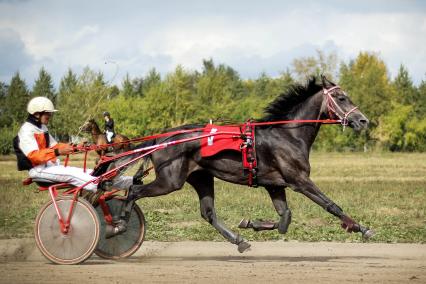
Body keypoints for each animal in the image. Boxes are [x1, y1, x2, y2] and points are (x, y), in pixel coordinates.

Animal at [113, 75, 372, 253]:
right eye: (341, 98)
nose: (363, 121)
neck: (287, 134)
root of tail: (160, 139)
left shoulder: (274, 184)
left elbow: (285, 219)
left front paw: (250, 224)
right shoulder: (299, 180)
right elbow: (330, 205)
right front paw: (360, 228)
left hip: (201, 177)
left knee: (208, 213)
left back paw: (239, 240)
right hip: (170, 180)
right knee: (133, 190)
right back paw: (120, 224)